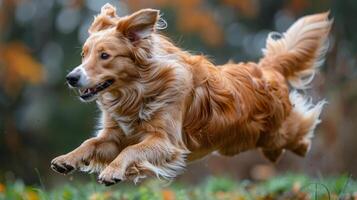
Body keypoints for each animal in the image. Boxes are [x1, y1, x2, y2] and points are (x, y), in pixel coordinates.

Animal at [50, 3, 330, 186]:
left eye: (105, 56)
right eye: (84, 54)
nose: (71, 77)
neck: (137, 92)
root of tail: (266, 68)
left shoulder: (166, 141)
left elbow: (130, 151)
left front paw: (113, 171)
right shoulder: (114, 136)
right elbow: (91, 143)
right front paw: (67, 159)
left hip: (276, 131)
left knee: (301, 126)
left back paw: (304, 144)